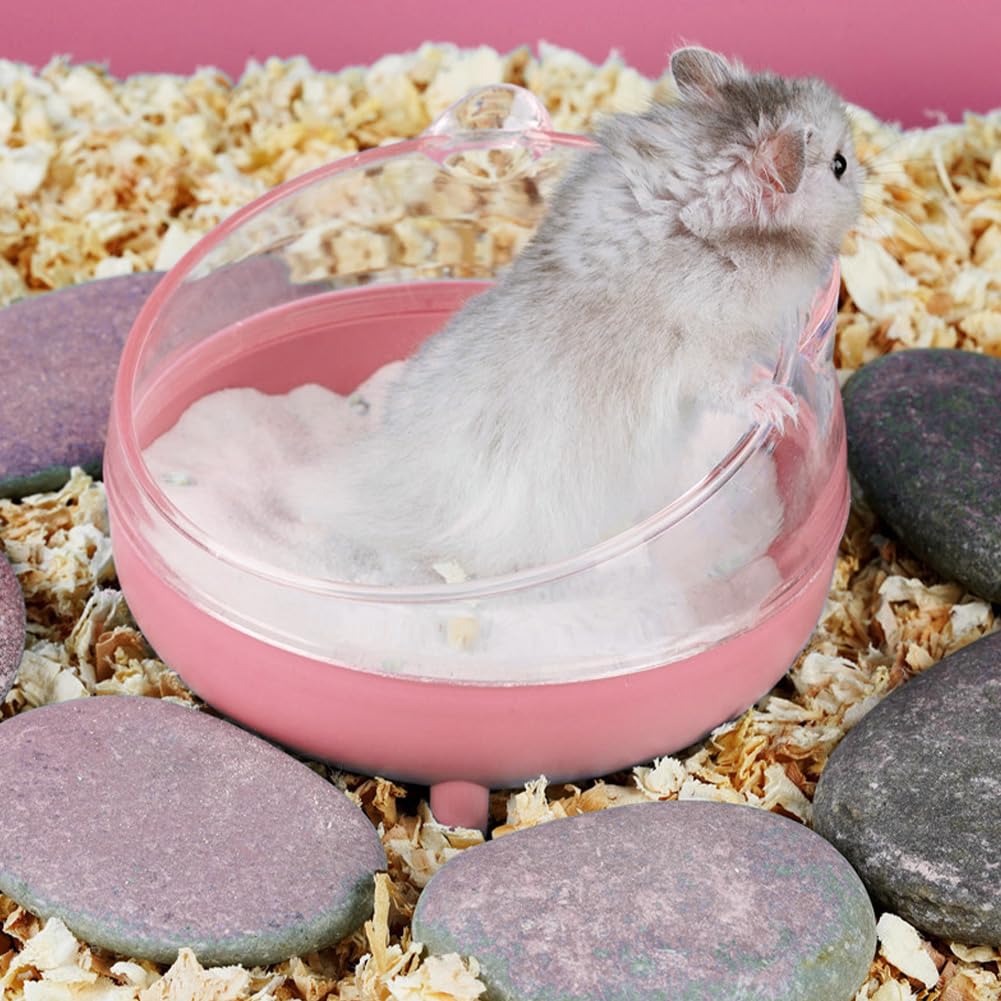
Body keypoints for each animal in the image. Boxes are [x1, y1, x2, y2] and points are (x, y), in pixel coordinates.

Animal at [318, 46, 863, 583]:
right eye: (839, 164)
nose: (866, 175)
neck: (700, 209)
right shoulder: (705, 348)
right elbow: (732, 386)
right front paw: (780, 404)